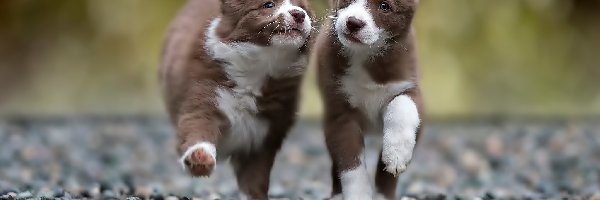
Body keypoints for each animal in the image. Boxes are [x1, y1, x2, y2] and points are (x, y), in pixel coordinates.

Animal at [157, 0, 314, 198]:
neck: (258, 69)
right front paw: (199, 158)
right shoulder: (206, 91)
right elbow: (196, 124)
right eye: (268, 4)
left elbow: (255, 175)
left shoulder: (266, 129)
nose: (299, 14)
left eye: (303, 7)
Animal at [314, 0, 422, 198]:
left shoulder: (410, 86)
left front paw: (396, 155)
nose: (353, 22)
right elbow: (349, 162)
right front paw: (359, 194)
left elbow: (401, 105)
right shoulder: (339, 114)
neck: (363, 55)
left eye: (385, 6)